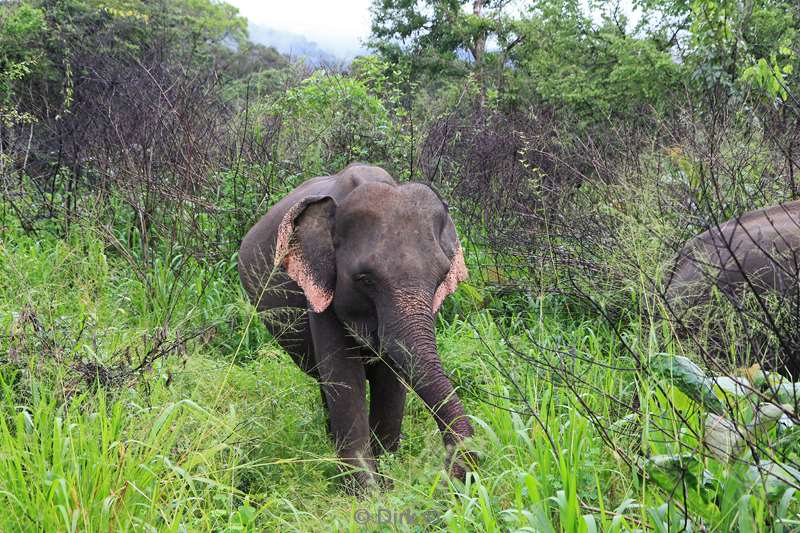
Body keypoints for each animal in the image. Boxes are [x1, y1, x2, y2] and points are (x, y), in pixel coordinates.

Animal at [236, 163, 476, 490]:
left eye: (441, 277)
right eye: (365, 279)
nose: (452, 476)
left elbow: (392, 379)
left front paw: (386, 480)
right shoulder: (320, 292)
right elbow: (345, 379)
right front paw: (366, 493)